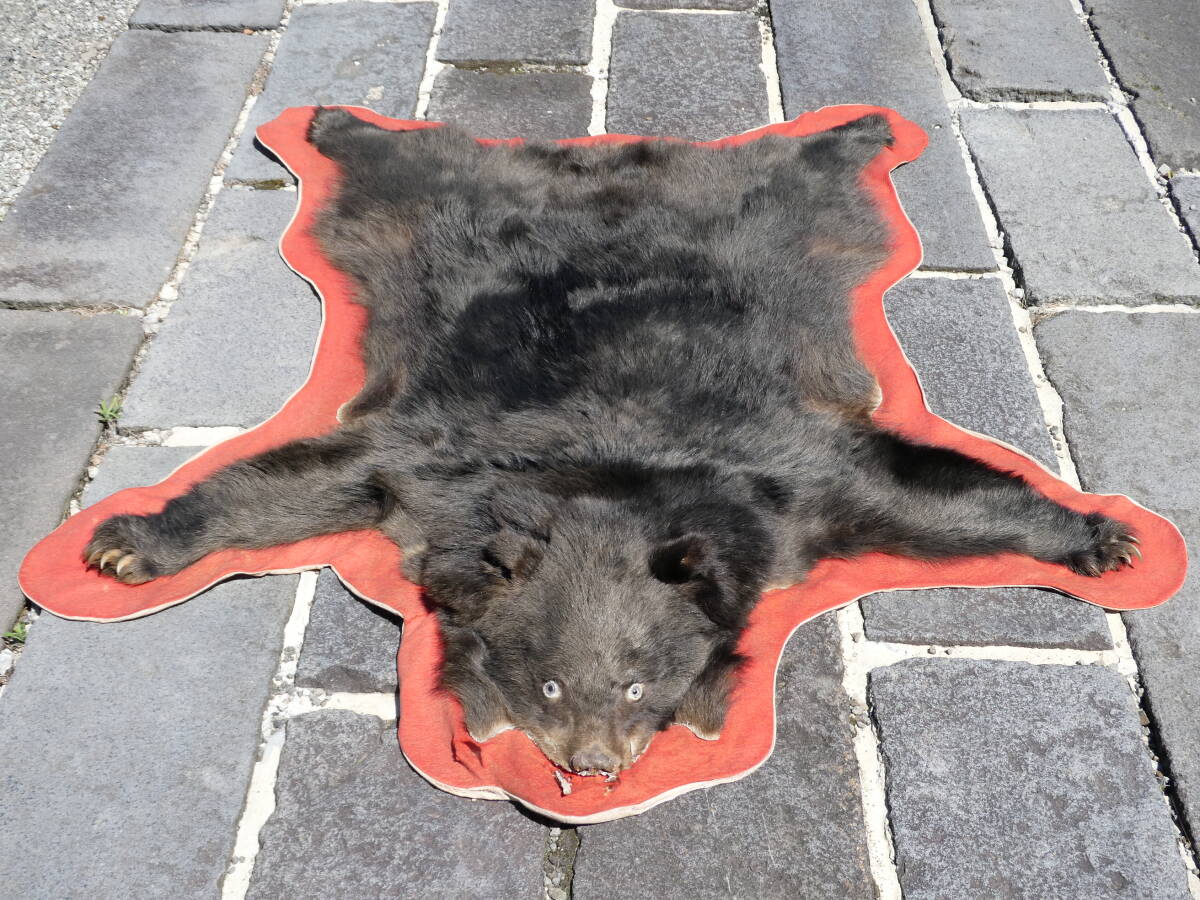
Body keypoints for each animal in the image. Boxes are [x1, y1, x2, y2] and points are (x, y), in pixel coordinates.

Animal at [85, 108, 1138, 776]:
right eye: (549, 685)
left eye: (638, 687)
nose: (593, 768)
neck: (602, 477)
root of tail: (602, 161)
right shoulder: (438, 463)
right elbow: (306, 481)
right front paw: (129, 543)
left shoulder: (786, 482)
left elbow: (919, 494)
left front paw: (1100, 535)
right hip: (422, 210)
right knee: (407, 159)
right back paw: (332, 123)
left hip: (785, 206)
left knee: (804, 161)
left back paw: (865, 126)